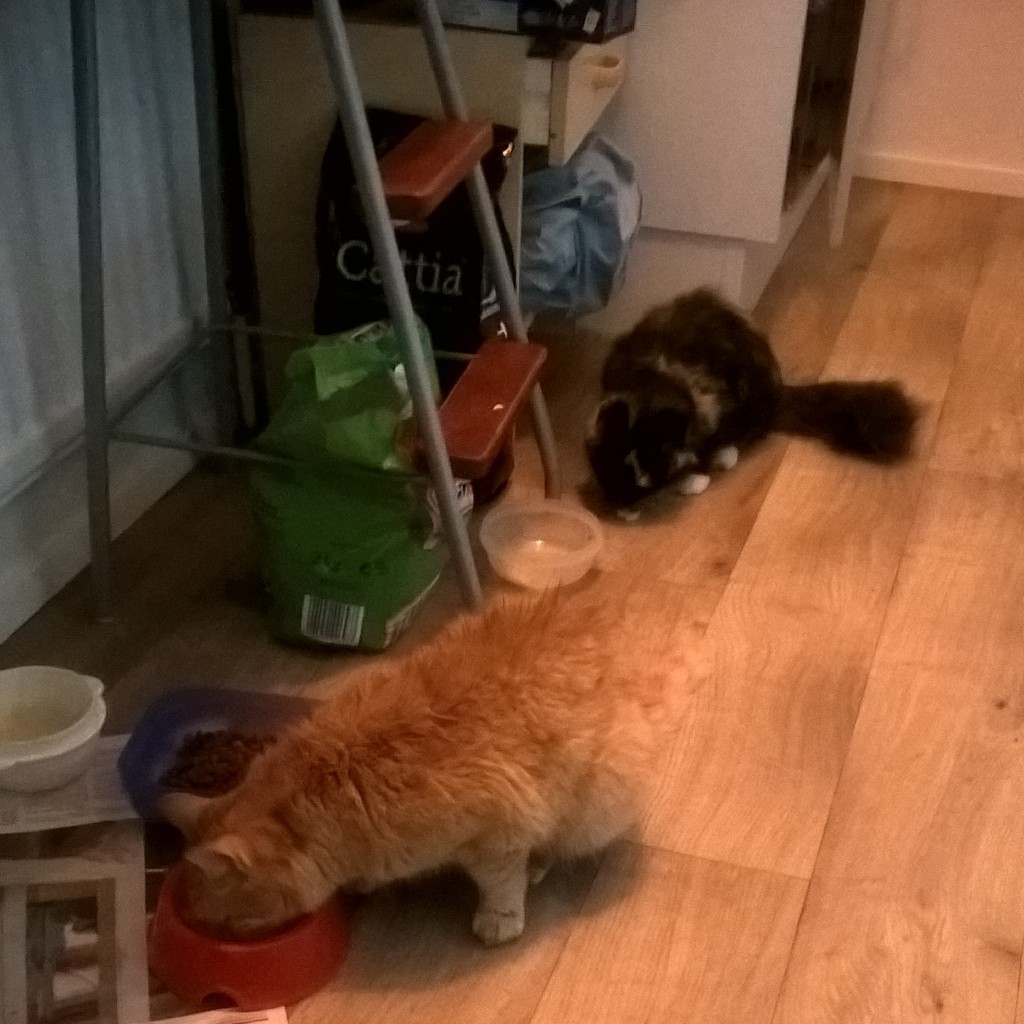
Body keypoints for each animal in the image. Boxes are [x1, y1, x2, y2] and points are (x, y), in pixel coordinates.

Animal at [160, 591, 667, 945]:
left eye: (231, 921)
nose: (224, 939)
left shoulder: (497, 837)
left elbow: (502, 885)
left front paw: (499, 919)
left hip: (600, 800)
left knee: (560, 844)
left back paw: (541, 863)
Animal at [586, 288, 919, 509]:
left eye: (649, 477)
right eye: (610, 467)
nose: (620, 503)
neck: (657, 378)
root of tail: (780, 390)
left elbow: (701, 451)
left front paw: (693, 480)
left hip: (751, 403)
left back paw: (726, 456)